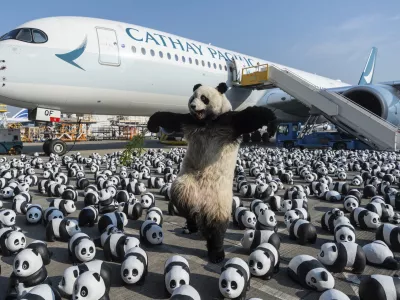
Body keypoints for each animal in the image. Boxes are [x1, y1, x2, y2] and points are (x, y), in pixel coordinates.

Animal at [147, 82, 276, 262]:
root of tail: (201, 203)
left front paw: (271, 121)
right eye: (192, 98)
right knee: (181, 196)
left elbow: (251, 117)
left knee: (216, 226)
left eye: (204, 98)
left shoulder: (228, 123)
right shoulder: (189, 121)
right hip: (189, 182)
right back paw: (192, 221)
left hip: (219, 201)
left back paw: (216, 252)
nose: (193, 106)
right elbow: (171, 118)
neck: (206, 122)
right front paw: (152, 124)